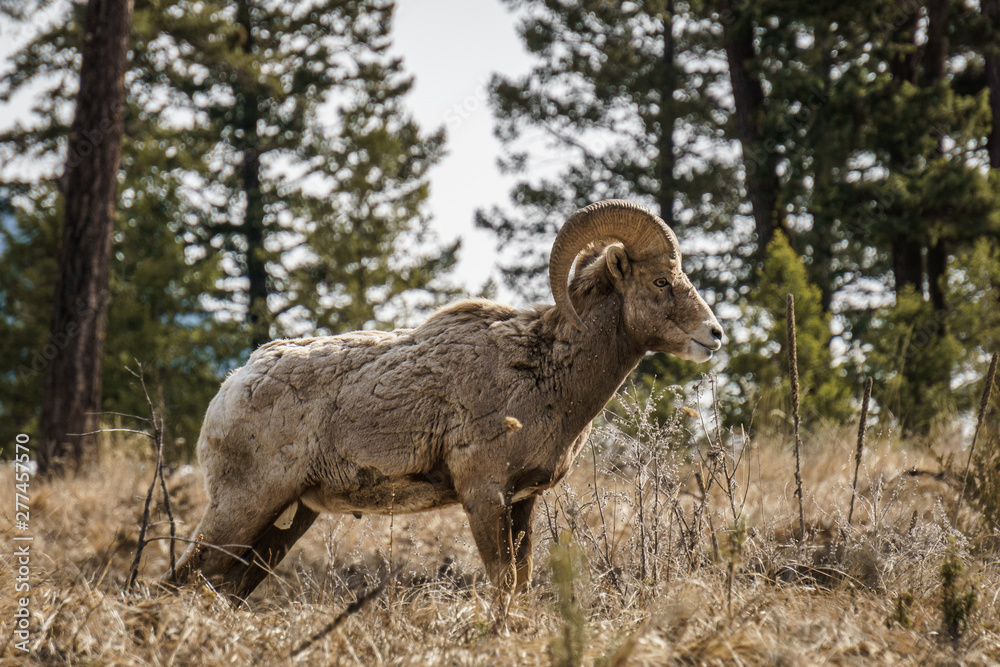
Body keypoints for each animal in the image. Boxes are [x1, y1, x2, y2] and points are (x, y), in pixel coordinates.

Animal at [170, 199, 723, 603]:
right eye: (660, 281)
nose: (715, 334)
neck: (546, 372)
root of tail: (235, 382)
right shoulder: (483, 495)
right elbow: (503, 589)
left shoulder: (521, 503)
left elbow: (521, 588)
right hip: (243, 507)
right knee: (185, 579)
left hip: (284, 521)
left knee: (223, 588)